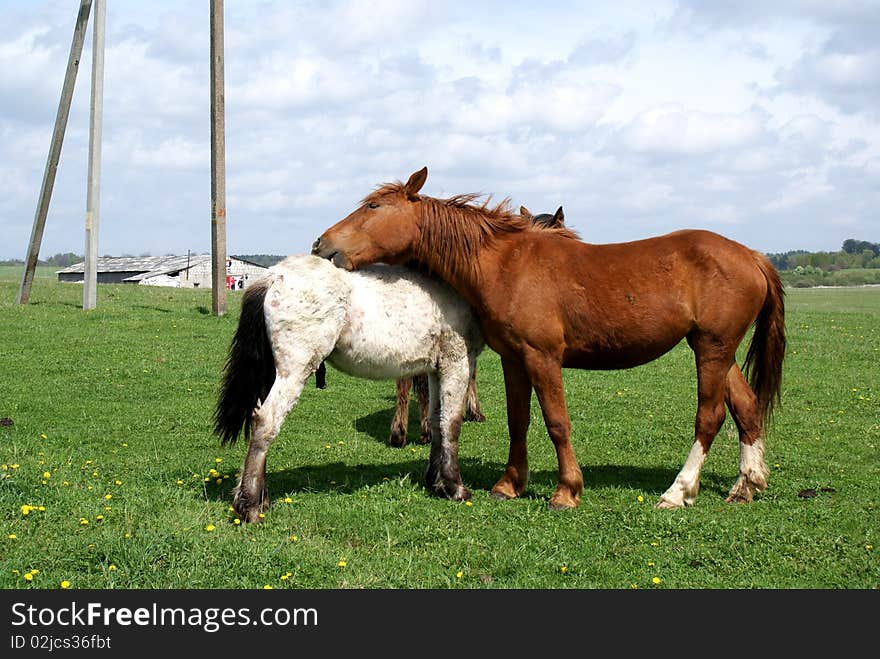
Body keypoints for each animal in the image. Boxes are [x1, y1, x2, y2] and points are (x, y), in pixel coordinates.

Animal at [312, 169, 788, 510]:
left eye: (373, 206)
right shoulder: (514, 359)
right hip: (717, 350)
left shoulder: (543, 358)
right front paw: (509, 484)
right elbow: (518, 421)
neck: (506, 264)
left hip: (711, 349)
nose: (321, 244)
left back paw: (679, 491)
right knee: (746, 408)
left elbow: (557, 423)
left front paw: (566, 491)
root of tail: (751, 255)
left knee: (710, 417)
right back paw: (746, 485)